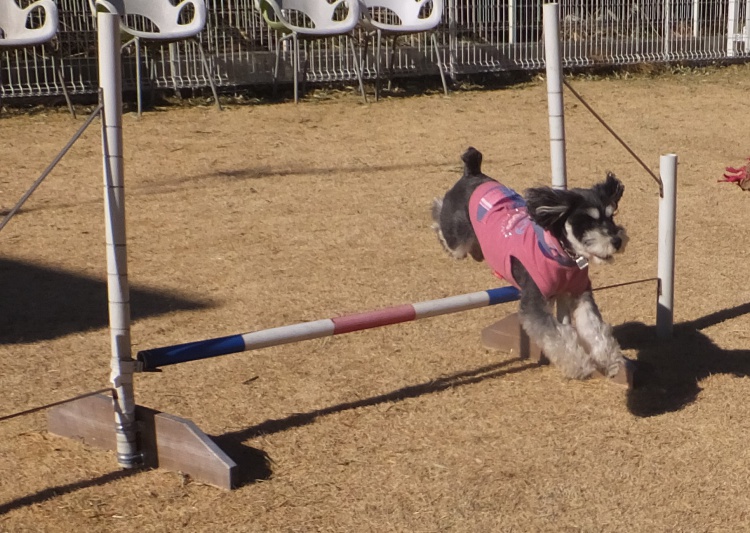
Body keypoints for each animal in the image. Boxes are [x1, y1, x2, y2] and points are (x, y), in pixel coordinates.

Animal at [432, 147, 629, 380]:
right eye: (587, 221)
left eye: (611, 216)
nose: (617, 240)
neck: (561, 254)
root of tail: (473, 173)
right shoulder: (534, 303)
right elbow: (557, 337)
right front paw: (579, 366)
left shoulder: (580, 293)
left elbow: (594, 328)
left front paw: (610, 361)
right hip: (457, 238)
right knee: (441, 218)